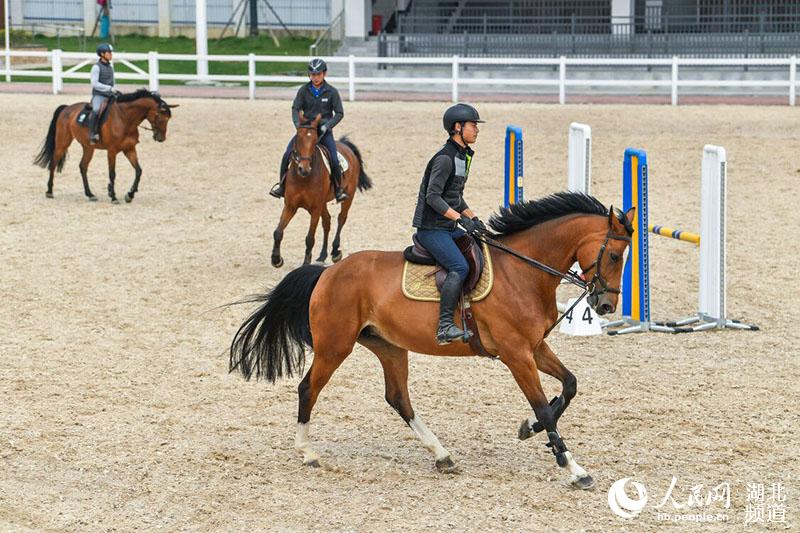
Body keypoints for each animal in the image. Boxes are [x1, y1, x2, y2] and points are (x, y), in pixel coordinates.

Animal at [34, 88, 177, 203]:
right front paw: (113, 196)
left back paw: (90, 194)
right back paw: (49, 191)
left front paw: (130, 194)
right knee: (53, 163)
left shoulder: (129, 149)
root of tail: (67, 108)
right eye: (159, 116)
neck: (125, 119)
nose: (161, 138)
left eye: (168, 119)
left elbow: (138, 171)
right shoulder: (112, 151)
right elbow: (112, 173)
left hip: (88, 148)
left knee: (83, 167)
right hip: (62, 143)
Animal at [228, 193, 636, 488]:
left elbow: (569, 386)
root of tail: (328, 272)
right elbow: (544, 408)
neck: (523, 271)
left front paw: (530, 430)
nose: (605, 304)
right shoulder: (517, 354)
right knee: (308, 388)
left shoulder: (535, 347)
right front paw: (573, 468)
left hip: (389, 347)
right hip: (335, 346)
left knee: (398, 398)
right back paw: (307, 452)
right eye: (615, 255)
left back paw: (442, 455)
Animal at [272, 110, 372, 268]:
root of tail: (345, 145)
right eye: (298, 138)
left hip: (348, 196)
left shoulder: (315, 209)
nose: (304, 169)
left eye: (314, 141)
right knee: (327, 222)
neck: (303, 179)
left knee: (341, 219)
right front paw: (276, 259)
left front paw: (305, 264)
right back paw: (322, 255)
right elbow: (278, 232)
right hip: (323, 203)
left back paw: (335, 252)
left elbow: (309, 238)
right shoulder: (290, 206)